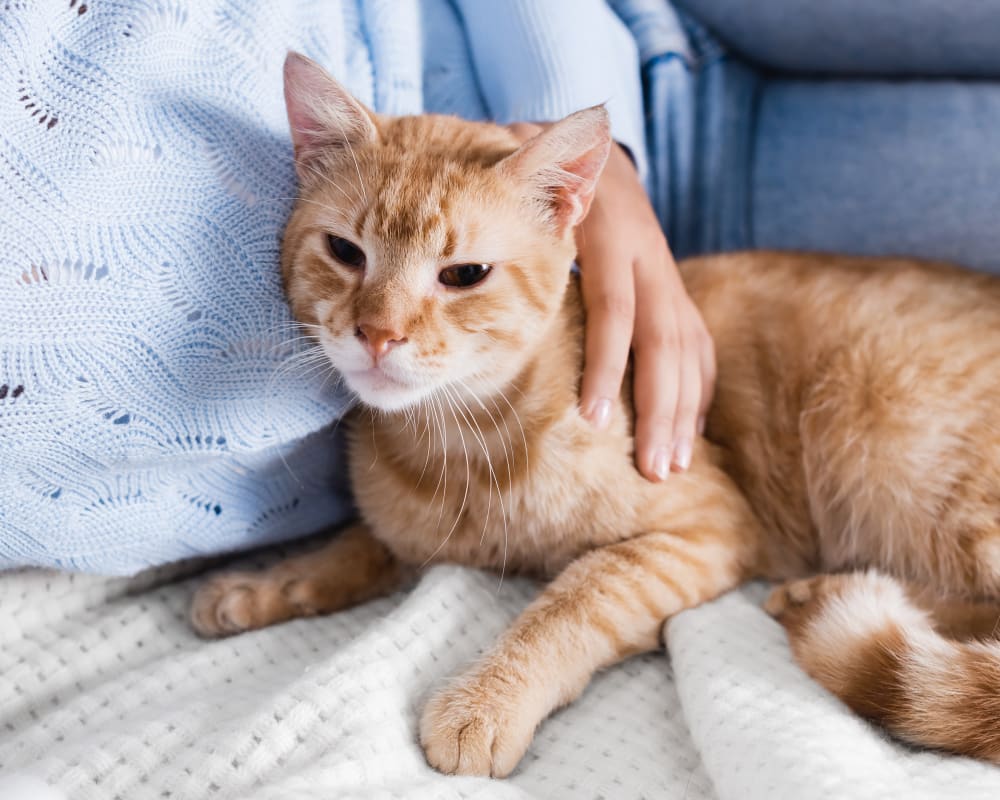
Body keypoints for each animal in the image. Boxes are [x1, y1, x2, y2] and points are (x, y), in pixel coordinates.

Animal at [189, 54, 1000, 776]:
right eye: (345, 251)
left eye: (463, 275)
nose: (378, 334)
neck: (459, 451)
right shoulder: (410, 530)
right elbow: (358, 544)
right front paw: (268, 582)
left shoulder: (703, 530)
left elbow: (576, 598)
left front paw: (487, 701)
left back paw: (828, 598)